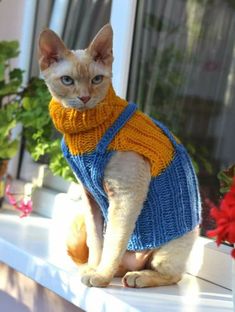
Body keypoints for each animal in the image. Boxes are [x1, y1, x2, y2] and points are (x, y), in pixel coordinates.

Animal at [38, 23, 200, 288]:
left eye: (97, 79)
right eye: (67, 80)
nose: (84, 97)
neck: (85, 131)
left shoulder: (126, 195)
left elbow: (114, 241)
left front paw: (100, 276)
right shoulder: (91, 198)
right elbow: (97, 242)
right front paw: (94, 269)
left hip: (167, 251)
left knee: (173, 275)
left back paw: (137, 277)